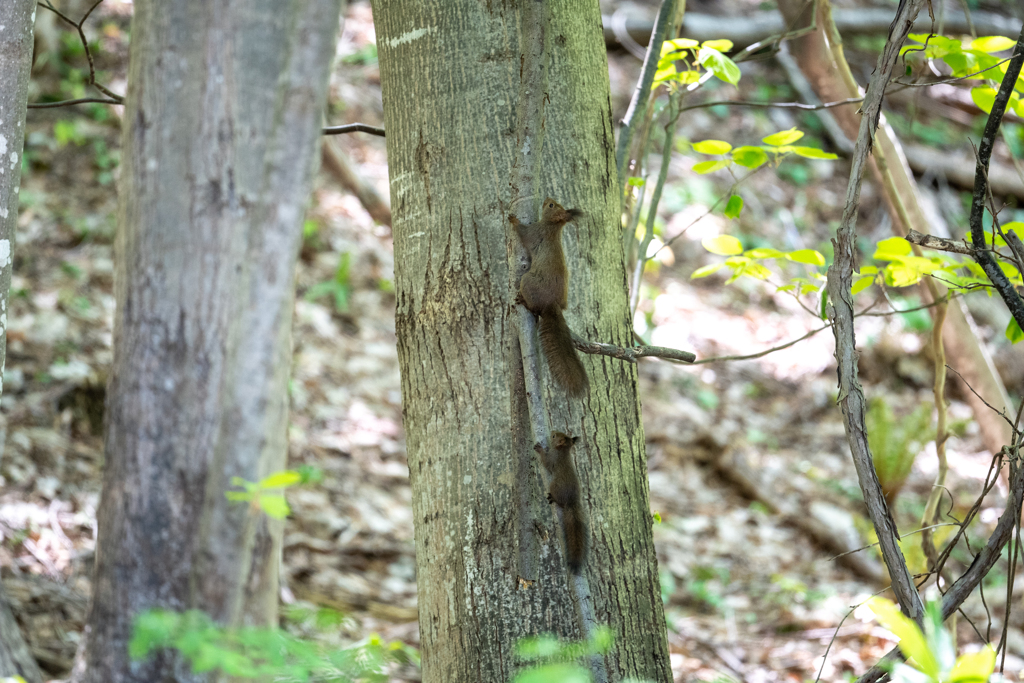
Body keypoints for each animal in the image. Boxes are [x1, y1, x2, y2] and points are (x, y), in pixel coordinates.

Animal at [507, 197, 589, 397]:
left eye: (551, 206)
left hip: (528, 281)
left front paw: (514, 221)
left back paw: (523, 301)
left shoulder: (536, 232)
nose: (546, 199)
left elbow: (524, 233)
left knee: (533, 307)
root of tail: (552, 304)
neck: (553, 227)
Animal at [532, 432, 589, 573]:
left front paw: (540, 449)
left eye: (554, 436)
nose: (552, 431)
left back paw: (553, 498)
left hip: (554, 487)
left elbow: (546, 462)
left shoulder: (553, 459)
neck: (563, 451)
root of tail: (571, 501)